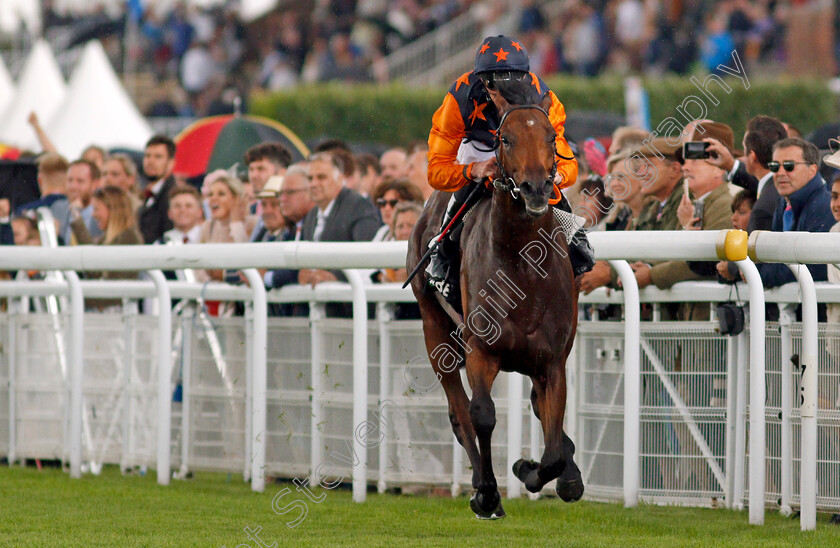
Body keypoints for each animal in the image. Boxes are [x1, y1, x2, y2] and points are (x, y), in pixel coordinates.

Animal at [408, 91, 584, 520]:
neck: (522, 264)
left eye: (552, 138)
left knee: (539, 411)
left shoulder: (553, 361)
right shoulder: (481, 351)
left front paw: (536, 470)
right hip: (434, 327)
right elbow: (482, 416)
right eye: (505, 139)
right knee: (459, 413)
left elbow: (553, 449)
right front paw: (488, 493)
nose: (536, 188)